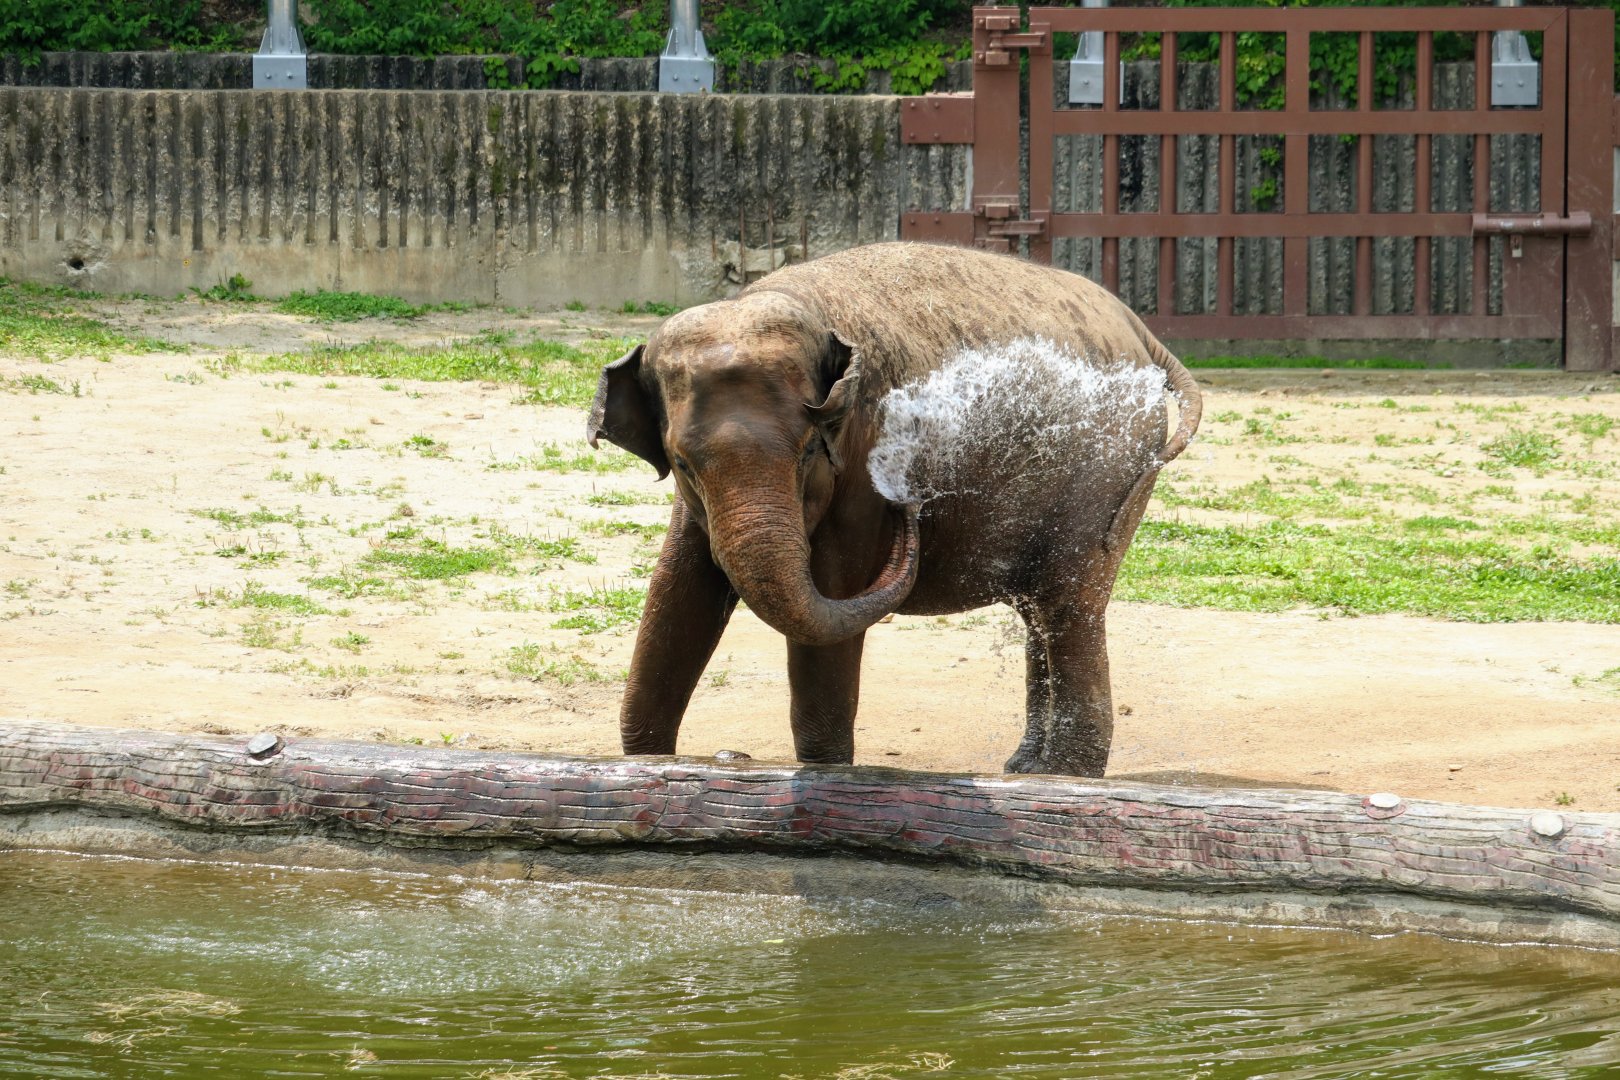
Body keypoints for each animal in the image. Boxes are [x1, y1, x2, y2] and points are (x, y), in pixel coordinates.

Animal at [587, 242, 1201, 776]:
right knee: (1042, 610)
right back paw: (1025, 768)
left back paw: (1063, 776)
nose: (912, 505)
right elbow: (679, 594)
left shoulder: (863, 459)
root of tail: (1142, 332)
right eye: (681, 462)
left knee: (1069, 603)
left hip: (1108, 467)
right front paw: (647, 762)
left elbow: (832, 594)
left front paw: (826, 773)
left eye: (809, 448)